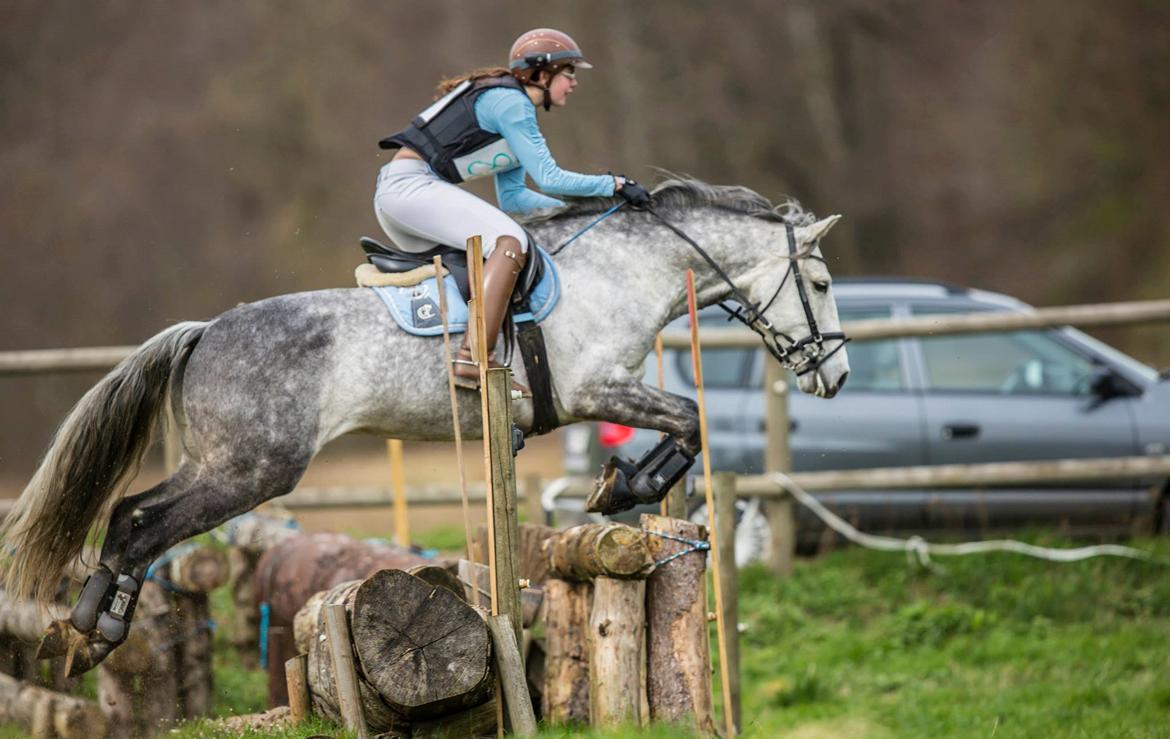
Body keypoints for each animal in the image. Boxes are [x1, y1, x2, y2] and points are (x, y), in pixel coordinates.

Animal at [0, 180, 847, 673]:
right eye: (819, 281)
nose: (833, 375)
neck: (623, 269)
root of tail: (205, 330)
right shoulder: (598, 388)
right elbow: (691, 420)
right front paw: (622, 486)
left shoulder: (604, 392)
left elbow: (690, 424)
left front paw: (622, 486)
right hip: (252, 467)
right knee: (144, 520)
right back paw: (95, 627)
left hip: (223, 462)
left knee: (129, 513)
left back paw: (92, 627)